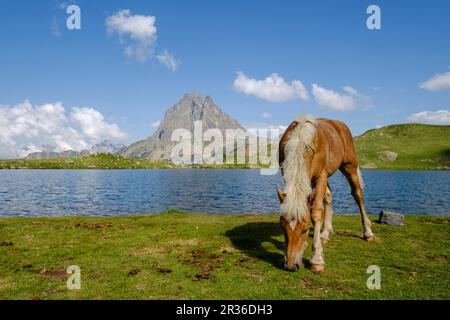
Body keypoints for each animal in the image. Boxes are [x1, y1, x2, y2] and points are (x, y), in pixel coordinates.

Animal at [274, 114, 376, 272]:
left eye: (305, 229)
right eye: (282, 227)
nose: (291, 265)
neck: (301, 141)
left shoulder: (321, 176)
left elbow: (316, 212)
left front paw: (317, 260)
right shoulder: (288, 174)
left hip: (349, 166)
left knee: (357, 194)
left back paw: (368, 232)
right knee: (328, 196)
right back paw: (326, 233)